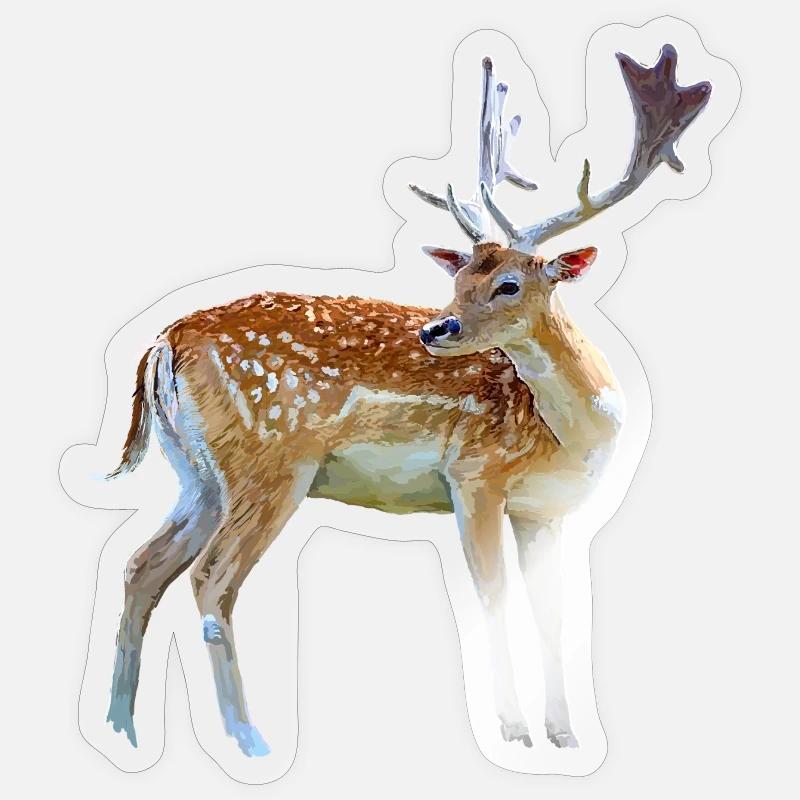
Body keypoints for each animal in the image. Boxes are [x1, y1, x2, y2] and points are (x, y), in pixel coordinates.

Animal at [104, 44, 711, 757]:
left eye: (508, 283)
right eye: (459, 277)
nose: (435, 329)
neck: (576, 434)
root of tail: (162, 343)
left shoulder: (546, 509)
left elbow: (553, 614)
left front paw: (565, 735)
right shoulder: (474, 475)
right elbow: (493, 598)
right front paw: (514, 731)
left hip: (197, 473)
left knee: (143, 566)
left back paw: (122, 728)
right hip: (268, 460)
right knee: (211, 579)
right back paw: (249, 739)